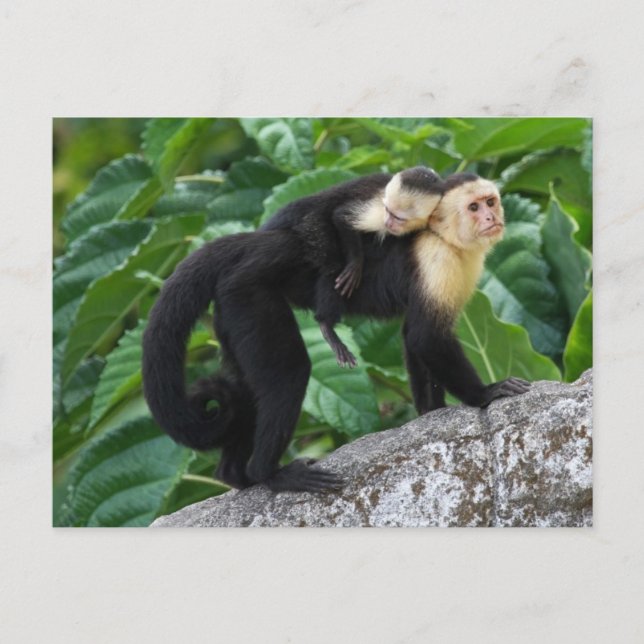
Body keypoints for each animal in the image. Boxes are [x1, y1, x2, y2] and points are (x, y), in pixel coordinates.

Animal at [141, 172, 530, 494]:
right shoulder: (437, 261)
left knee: (245, 387)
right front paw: (486, 393)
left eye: (490, 202)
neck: (445, 237)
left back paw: (235, 474)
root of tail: (267, 242)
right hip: (249, 293)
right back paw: (269, 474)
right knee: (290, 372)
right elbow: (427, 337)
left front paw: (430, 414)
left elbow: (412, 336)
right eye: (473, 207)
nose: (490, 218)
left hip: (230, 309)